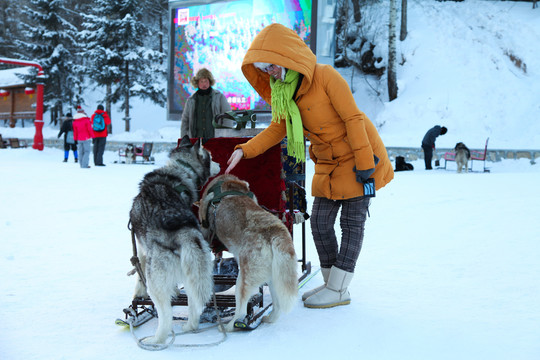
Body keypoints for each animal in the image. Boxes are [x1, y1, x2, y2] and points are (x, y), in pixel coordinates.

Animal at [130, 135, 220, 344]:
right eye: (211, 158)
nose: (220, 164)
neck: (180, 170)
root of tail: (184, 232)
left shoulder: (141, 249)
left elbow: (139, 273)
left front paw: (138, 292)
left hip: (156, 283)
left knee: (165, 315)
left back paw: (157, 339)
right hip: (195, 273)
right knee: (195, 303)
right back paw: (190, 326)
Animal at [199, 174, 300, 332]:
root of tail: (274, 232)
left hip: (242, 281)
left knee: (240, 310)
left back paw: (227, 327)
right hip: (274, 278)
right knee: (277, 306)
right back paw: (269, 318)